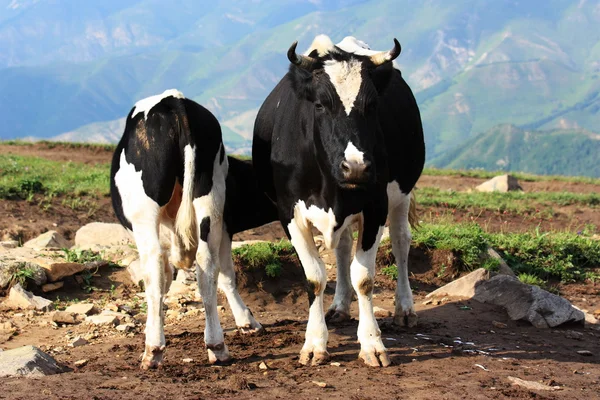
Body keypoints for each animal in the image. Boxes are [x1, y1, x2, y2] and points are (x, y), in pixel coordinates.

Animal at [110, 90, 274, 368]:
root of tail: (174, 101)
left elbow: (164, 280)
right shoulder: (225, 226)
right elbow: (226, 274)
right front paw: (247, 321)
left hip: (144, 212)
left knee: (155, 266)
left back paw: (153, 350)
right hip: (210, 199)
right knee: (207, 264)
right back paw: (217, 346)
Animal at [253, 36, 426, 368]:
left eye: (372, 106)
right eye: (320, 104)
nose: (356, 167)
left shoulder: (375, 206)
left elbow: (364, 278)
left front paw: (372, 344)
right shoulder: (289, 212)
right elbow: (314, 277)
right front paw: (314, 343)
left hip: (402, 194)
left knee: (401, 241)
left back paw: (406, 309)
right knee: (343, 247)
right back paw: (340, 307)